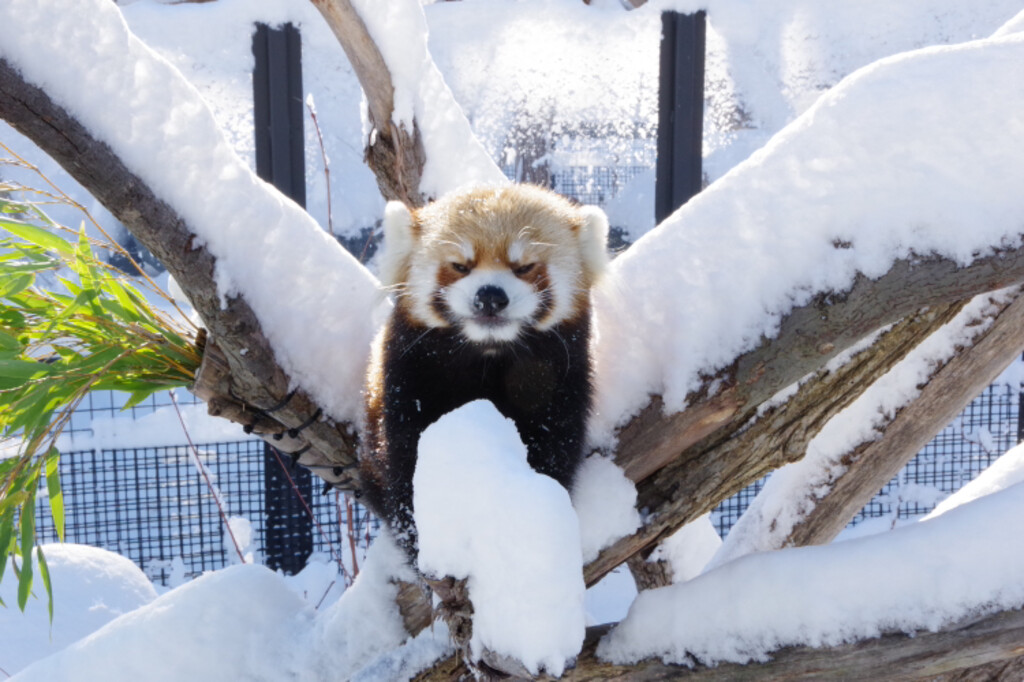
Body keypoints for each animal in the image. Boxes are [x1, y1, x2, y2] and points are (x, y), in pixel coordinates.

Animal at [360, 183, 606, 561]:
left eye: (524, 267)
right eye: (461, 266)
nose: (490, 296)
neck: (490, 356)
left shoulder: (562, 383)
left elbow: (554, 450)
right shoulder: (406, 379)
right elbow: (407, 463)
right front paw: (424, 539)